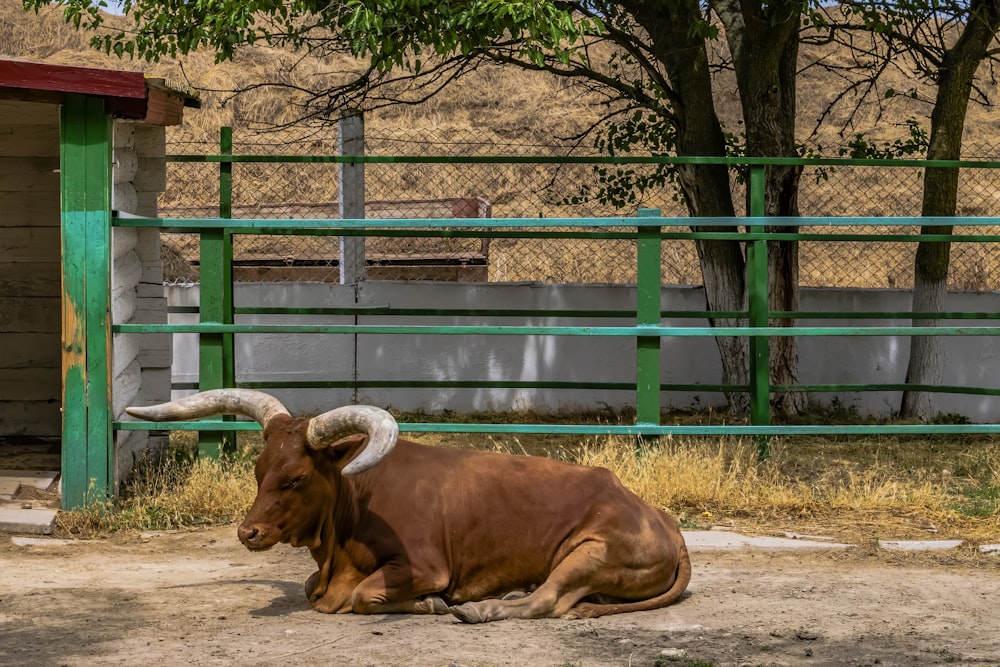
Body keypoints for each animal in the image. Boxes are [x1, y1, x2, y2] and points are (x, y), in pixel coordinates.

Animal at [125, 388, 692, 624]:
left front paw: (433, 604)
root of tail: (662, 518)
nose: (249, 533)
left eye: (297, 478)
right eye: (257, 470)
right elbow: (312, 589)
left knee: (550, 601)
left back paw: (484, 609)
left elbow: (363, 596)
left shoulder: (422, 565)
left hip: (589, 552)